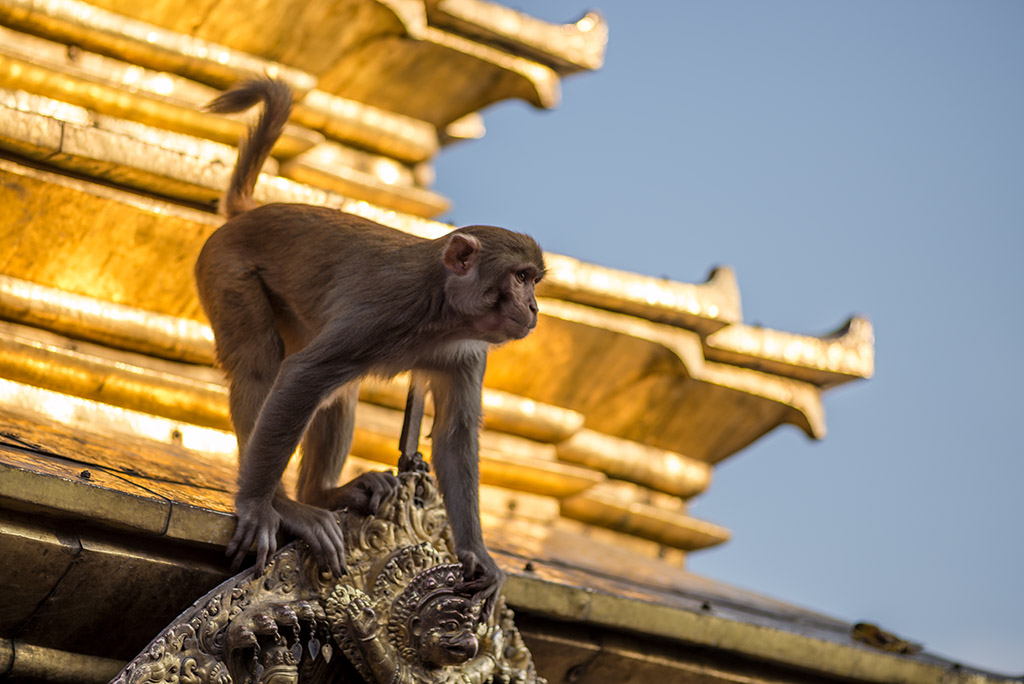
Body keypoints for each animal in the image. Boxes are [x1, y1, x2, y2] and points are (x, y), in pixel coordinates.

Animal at [196, 78, 545, 605]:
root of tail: (252, 213)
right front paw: (256, 504)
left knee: (338, 391)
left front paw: (477, 553)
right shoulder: (385, 310)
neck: (442, 310)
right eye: (520, 278)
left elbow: (454, 434)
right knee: (264, 369)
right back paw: (288, 504)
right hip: (227, 270)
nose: (534, 308)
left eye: (533, 281)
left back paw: (323, 493)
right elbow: (302, 376)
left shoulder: (468, 351)